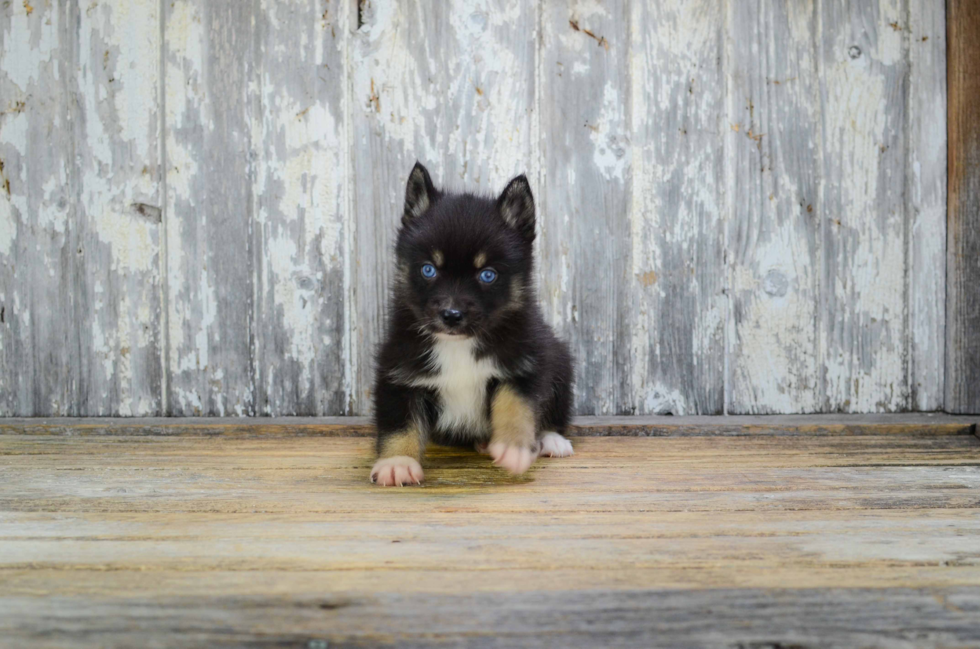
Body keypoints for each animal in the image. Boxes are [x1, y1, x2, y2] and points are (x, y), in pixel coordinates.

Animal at [374, 162, 580, 486]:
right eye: (428, 270)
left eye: (487, 275)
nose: (451, 315)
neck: (459, 345)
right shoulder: (398, 369)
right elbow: (399, 421)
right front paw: (397, 462)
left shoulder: (525, 361)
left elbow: (515, 403)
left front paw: (514, 445)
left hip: (559, 361)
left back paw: (551, 439)